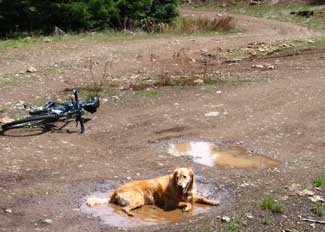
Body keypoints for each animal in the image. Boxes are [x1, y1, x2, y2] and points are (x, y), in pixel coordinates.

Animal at [86, 168, 219, 217]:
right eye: (177, 178)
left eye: (185, 177)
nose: (180, 185)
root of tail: (114, 191)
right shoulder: (170, 203)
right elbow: (188, 204)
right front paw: (186, 208)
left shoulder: (191, 196)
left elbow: (201, 199)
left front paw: (214, 201)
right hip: (138, 199)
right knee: (124, 208)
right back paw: (130, 214)